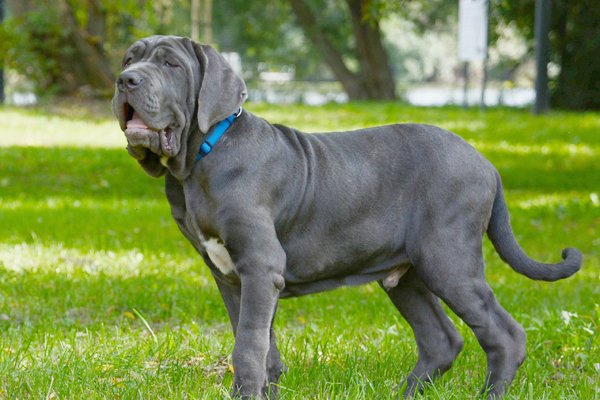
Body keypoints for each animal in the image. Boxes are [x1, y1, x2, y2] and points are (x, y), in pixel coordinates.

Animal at [111, 36, 580, 398]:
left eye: (171, 64)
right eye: (129, 59)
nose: (125, 80)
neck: (200, 159)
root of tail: (487, 164)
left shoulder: (259, 267)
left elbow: (247, 348)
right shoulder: (231, 278)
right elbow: (264, 348)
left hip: (449, 261)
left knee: (504, 336)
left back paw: (490, 392)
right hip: (407, 277)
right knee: (441, 341)